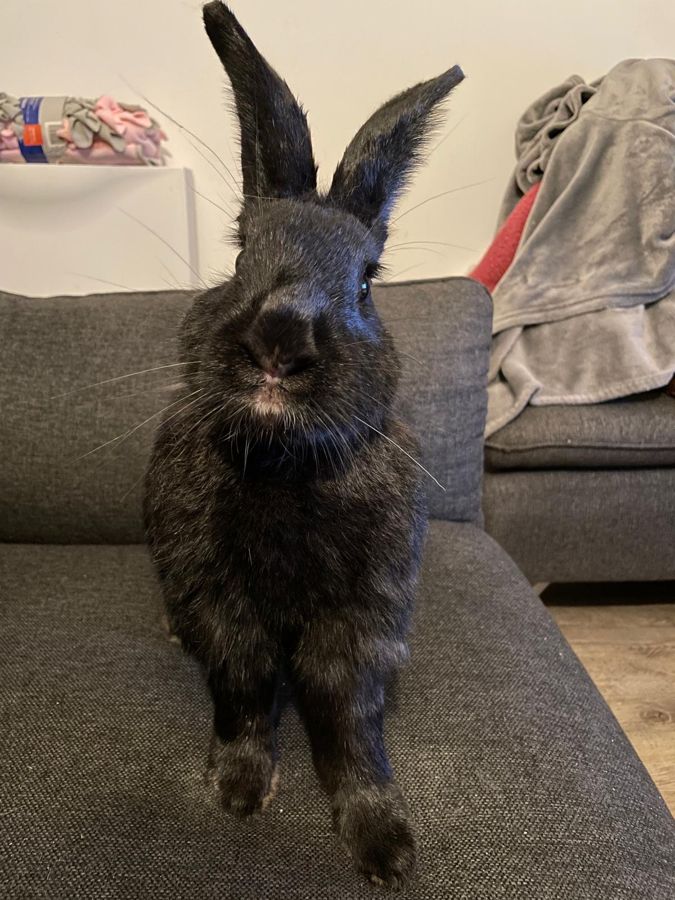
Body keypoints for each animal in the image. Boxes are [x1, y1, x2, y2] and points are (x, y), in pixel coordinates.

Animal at [144, 0, 464, 888]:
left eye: (366, 282)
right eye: (238, 252)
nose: (280, 338)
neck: (283, 464)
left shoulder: (360, 619)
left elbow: (346, 717)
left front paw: (384, 845)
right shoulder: (218, 602)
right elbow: (245, 688)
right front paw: (239, 790)